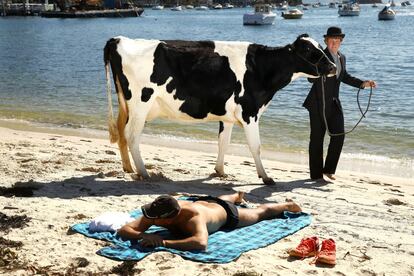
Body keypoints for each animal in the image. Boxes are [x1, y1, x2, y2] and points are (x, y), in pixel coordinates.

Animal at [103, 35, 336, 185]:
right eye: (308, 50)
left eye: (320, 47)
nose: (333, 67)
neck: (260, 69)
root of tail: (118, 39)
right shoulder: (249, 112)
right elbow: (256, 147)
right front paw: (266, 177)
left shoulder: (228, 117)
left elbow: (223, 143)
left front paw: (220, 171)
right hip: (140, 103)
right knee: (132, 136)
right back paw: (144, 172)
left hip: (126, 104)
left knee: (121, 132)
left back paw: (128, 169)